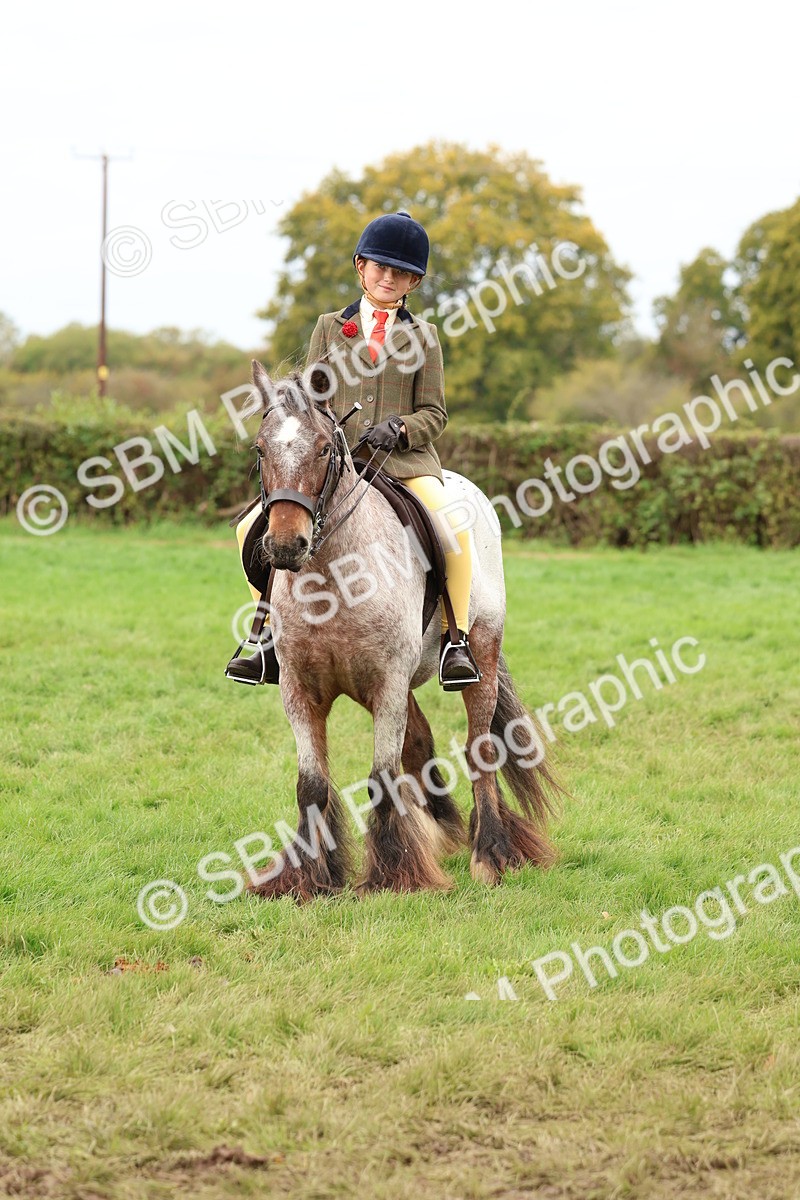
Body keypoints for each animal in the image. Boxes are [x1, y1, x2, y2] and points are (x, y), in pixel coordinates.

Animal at [239, 360, 564, 899]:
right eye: (261, 450)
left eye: (323, 449)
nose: (284, 546)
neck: (332, 578)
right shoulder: (299, 688)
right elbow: (312, 782)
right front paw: (308, 878)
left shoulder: (388, 683)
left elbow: (381, 776)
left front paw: (396, 874)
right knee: (421, 743)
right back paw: (443, 829)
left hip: (480, 654)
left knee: (480, 748)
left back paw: (490, 852)